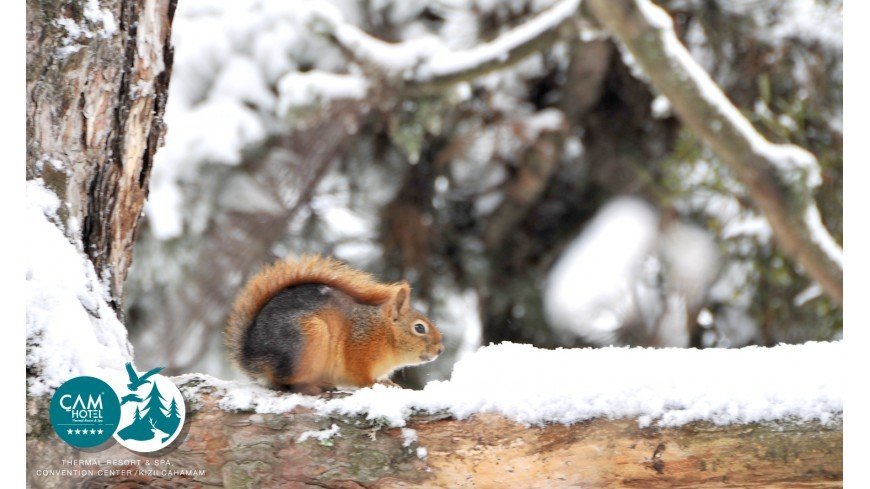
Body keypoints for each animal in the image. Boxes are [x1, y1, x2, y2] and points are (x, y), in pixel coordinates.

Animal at [227, 254, 442, 394]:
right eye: (419, 328)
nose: (440, 350)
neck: (384, 332)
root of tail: (252, 357)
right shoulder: (358, 352)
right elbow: (361, 377)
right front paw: (375, 385)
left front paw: (389, 384)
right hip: (307, 340)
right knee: (286, 382)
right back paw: (313, 386)